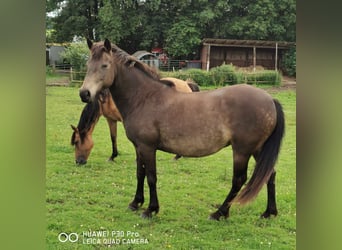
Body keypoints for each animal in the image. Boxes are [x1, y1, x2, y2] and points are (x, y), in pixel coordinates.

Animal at [71, 77, 200, 164]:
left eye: (76, 142)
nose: (78, 162)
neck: (106, 98)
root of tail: (186, 83)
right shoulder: (111, 119)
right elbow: (113, 138)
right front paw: (112, 156)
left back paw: (177, 156)